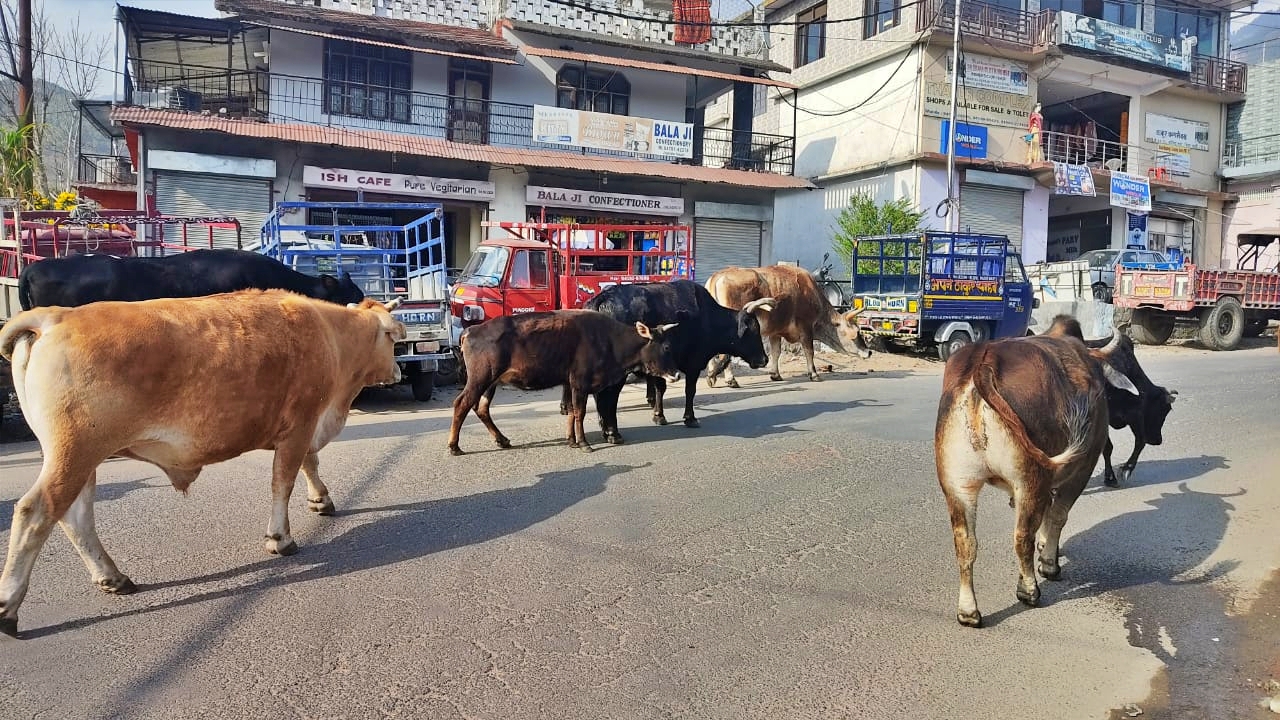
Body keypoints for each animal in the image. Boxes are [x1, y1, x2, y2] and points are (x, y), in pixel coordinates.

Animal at [0, 285, 404, 632]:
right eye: (394, 338)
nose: (399, 371)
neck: (331, 336)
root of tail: (58, 315)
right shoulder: (301, 422)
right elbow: (284, 479)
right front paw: (280, 538)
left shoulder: (302, 427)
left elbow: (309, 463)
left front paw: (321, 500)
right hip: (76, 451)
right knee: (37, 511)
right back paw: (8, 607)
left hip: (79, 457)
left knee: (76, 517)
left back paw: (112, 577)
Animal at [563, 280, 778, 438]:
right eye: (753, 330)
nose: (764, 360)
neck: (708, 318)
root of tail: (601, 300)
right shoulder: (693, 363)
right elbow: (689, 391)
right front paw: (690, 418)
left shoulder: (662, 365)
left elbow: (660, 388)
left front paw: (659, 416)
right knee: (608, 396)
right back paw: (612, 432)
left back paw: (605, 428)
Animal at [701, 262, 870, 384]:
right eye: (856, 332)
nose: (868, 352)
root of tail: (718, 276)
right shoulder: (806, 328)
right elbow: (809, 351)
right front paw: (814, 374)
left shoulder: (775, 332)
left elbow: (776, 352)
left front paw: (775, 374)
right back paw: (730, 379)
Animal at [931, 316, 1141, 625]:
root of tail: (982, 366)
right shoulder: (1081, 468)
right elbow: (1057, 516)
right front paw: (1050, 563)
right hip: (1029, 479)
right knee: (1021, 537)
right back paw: (1029, 590)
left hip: (958, 484)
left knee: (965, 543)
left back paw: (968, 611)